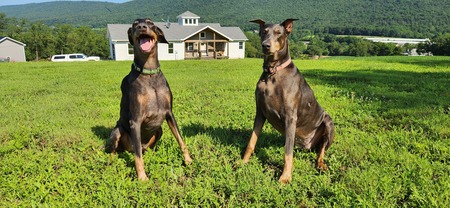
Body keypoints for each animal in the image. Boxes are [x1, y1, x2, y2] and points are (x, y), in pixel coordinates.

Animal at [111, 18, 193, 181]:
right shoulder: (135, 120)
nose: (142, 27)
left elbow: (181, 140)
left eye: (150, 23)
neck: (149, 73)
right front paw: (142, 177)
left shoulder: (169, 113)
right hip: (117, 132)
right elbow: (138, 157)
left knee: (146, 149)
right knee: (118, 149)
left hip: (159, 130)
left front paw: (188, 160)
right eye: (134, 24)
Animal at [243, 18, 334, 184]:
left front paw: (285, 177)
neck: (273, 72)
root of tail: (307, 145)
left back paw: (321, 165)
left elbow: (287, 153)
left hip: (328, 123)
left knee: (321, 151)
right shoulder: (260, 113)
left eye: (278, 33)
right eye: (263, 32)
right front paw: (242, 162)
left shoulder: (290, 117)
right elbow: (251, 142)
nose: (265, 45)